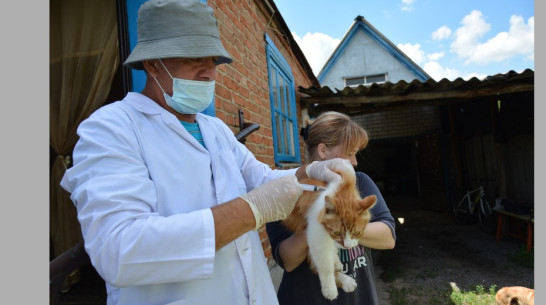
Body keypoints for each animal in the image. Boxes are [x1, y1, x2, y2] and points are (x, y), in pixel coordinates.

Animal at [280, 169, 374, 300]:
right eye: (337, 232)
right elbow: (325, 266)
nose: (347, 246)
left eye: (356, 232)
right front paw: (330, 289)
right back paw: (346, 281)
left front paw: (336, 258)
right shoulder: (316, 235)